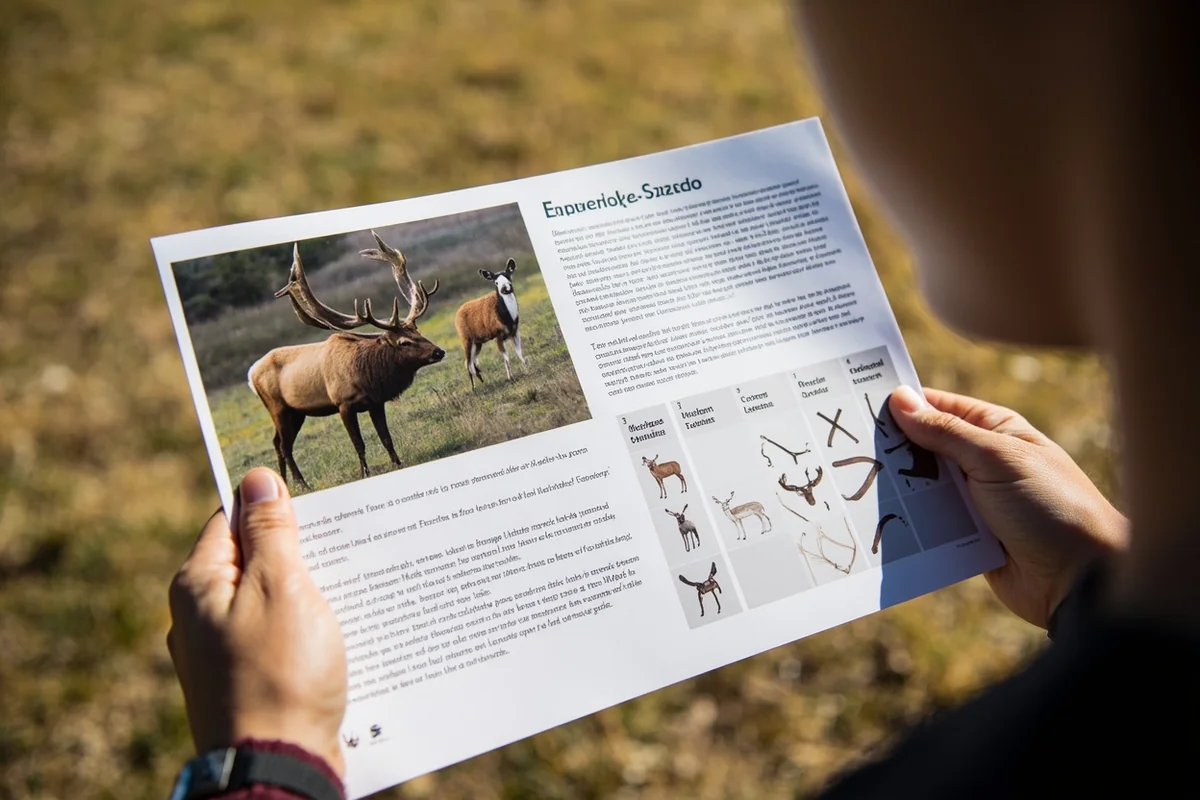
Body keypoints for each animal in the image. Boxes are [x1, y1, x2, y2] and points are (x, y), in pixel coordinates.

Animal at [247, 231, 444, 490]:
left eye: (418, 331)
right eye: (403, 342)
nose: (439, 352)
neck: (369, 375)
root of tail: (250, 375)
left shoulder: (375, 402)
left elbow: (386, 437)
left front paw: (398, 463)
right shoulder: (343, 403)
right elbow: (358, 443)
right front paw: (365, 473)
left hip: (296, 412)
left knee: (277, 442)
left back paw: (286, 484)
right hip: (277, 407)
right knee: (284, 445)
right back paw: (302, 484)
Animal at [454, 258, 526, 388]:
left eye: (509, 277)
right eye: (496, 282)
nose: (505, 289)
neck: (507, 317)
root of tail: (457, 315)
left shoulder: (515, 331)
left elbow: (520, 354)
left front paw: (527, 368)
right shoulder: (498, 336)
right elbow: (507, 359)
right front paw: (510, 378)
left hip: (477, 342)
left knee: (473, 362)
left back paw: (483, 382)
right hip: (466, 339)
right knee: (468, 363)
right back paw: (474, 388)